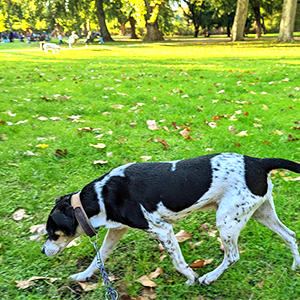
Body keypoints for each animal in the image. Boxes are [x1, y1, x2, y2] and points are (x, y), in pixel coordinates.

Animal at [42, 154, 300, 284]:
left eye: (51, 233)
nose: (43, 251)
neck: (100, 196)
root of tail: (259, 162)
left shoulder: (162, 229)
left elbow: (178, 262)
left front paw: (191, 277)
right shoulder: (117, 230)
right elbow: (99, 258)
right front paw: (83, 276)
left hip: (226, 221)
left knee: (233, 256)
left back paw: (209, 277)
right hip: (261, 212)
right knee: (290, 235)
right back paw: (296, 266)